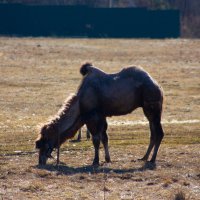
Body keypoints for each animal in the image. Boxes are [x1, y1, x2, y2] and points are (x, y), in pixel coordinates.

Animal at [35, 62, 164, 166]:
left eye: (43, 141)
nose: (40, 161)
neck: (80, 104)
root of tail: (158, 86)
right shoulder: (102, 116)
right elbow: (104, 138)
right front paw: (107, 159)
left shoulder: (93, 117)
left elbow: (96, 140)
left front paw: (95, 161)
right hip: (149, 110)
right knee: (153, 133)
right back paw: (144, 157)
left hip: (152, 107)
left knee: (159, 133)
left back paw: (152, 159)